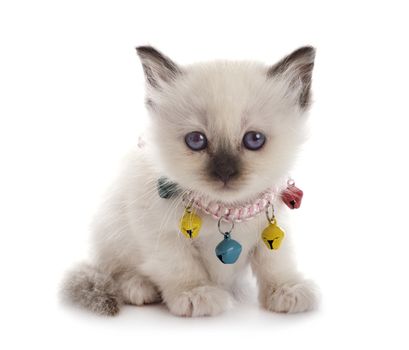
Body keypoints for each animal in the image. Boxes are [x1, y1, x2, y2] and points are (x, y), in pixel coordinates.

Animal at [61, 45, 318, 316]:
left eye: (254, 139)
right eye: (196, 140)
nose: (225, 172)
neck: (227, 212)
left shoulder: (271, 230)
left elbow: (276, 262)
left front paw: (287, 289)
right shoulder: (159, 234)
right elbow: (180, 265)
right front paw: (196, 293)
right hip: (110, 231)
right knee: (115, 271)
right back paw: (138, 287)